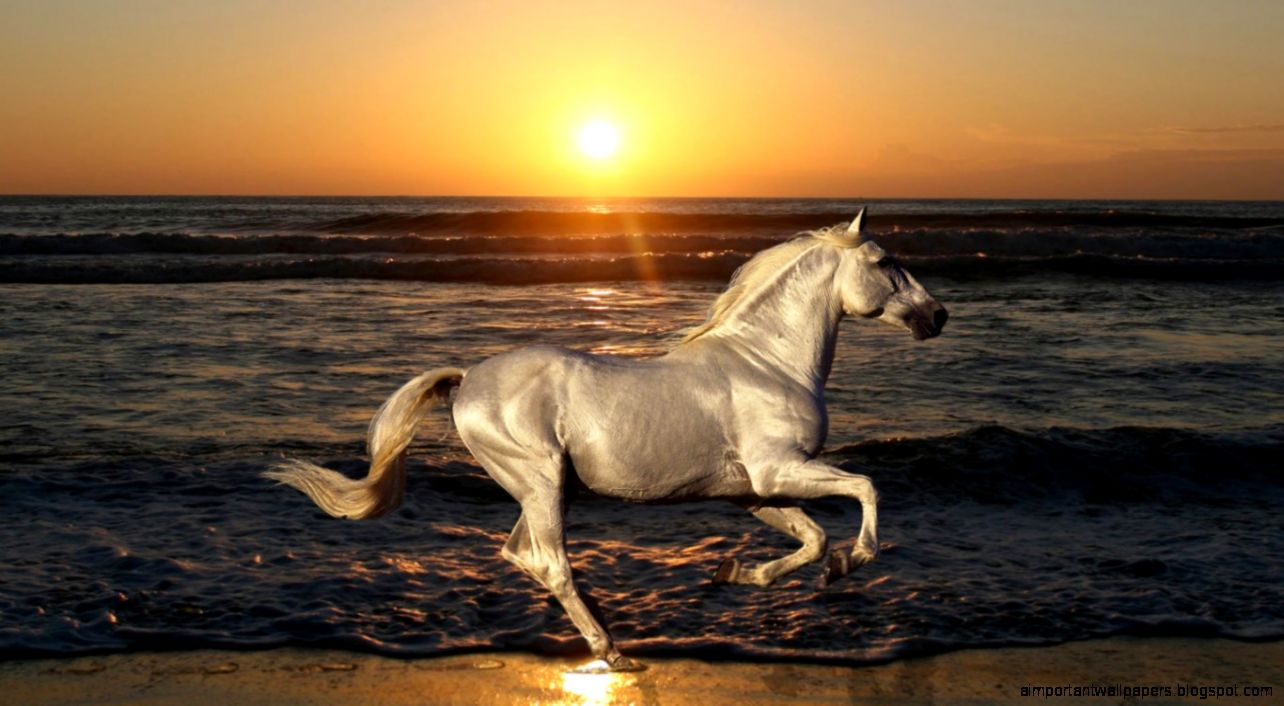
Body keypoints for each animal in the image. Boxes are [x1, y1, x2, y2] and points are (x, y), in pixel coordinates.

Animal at [264, 208, 948, 672]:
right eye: (886, 263)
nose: (936, 316)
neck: (767, 362)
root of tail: (467, 381)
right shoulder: (779, 470)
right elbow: (865, 490)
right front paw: (851, 562)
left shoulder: (752, 491)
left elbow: (810, 540)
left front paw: (735, 572)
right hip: (541, 481)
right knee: (550, 562)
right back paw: (612, 648)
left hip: (545, 490)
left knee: (522, 555)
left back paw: (609, 631)